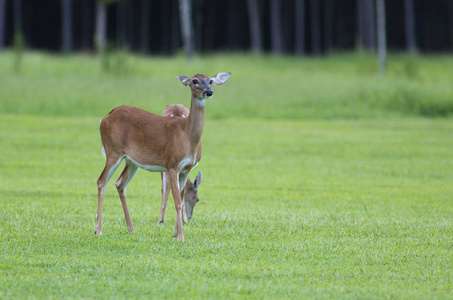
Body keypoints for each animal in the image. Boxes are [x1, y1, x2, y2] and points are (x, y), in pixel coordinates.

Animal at [95, 72, 230, 241]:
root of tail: (105, 116)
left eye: (210, 81)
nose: (209, 91)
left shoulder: (186, 169)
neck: (186, 134)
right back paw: (98, 230)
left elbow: (181, 197)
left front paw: (176, 232)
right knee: (101, 181)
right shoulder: (172, 163)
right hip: (113, 151)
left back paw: (131, 229)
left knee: (120, 184)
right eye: (195, 81)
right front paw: (180, 236)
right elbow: (177, 201)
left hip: (131, 161)